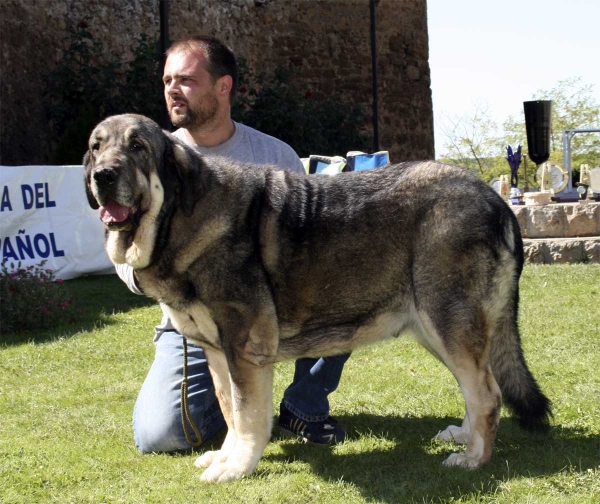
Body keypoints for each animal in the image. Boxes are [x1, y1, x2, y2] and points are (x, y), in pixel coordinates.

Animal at [85, 115, 552, 484]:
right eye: (96, 146)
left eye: (138, 146)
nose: (102, 175)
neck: (180, 214)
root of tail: (494, 199)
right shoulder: (219, 354)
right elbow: (231, 412)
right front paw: (225, 456)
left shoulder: (246, 352)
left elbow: (248, 417)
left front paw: (236, 468)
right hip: (438, 331)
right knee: (476, 387)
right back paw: (465, 435)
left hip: (448, 323)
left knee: (487, 393)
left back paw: (474, 457)